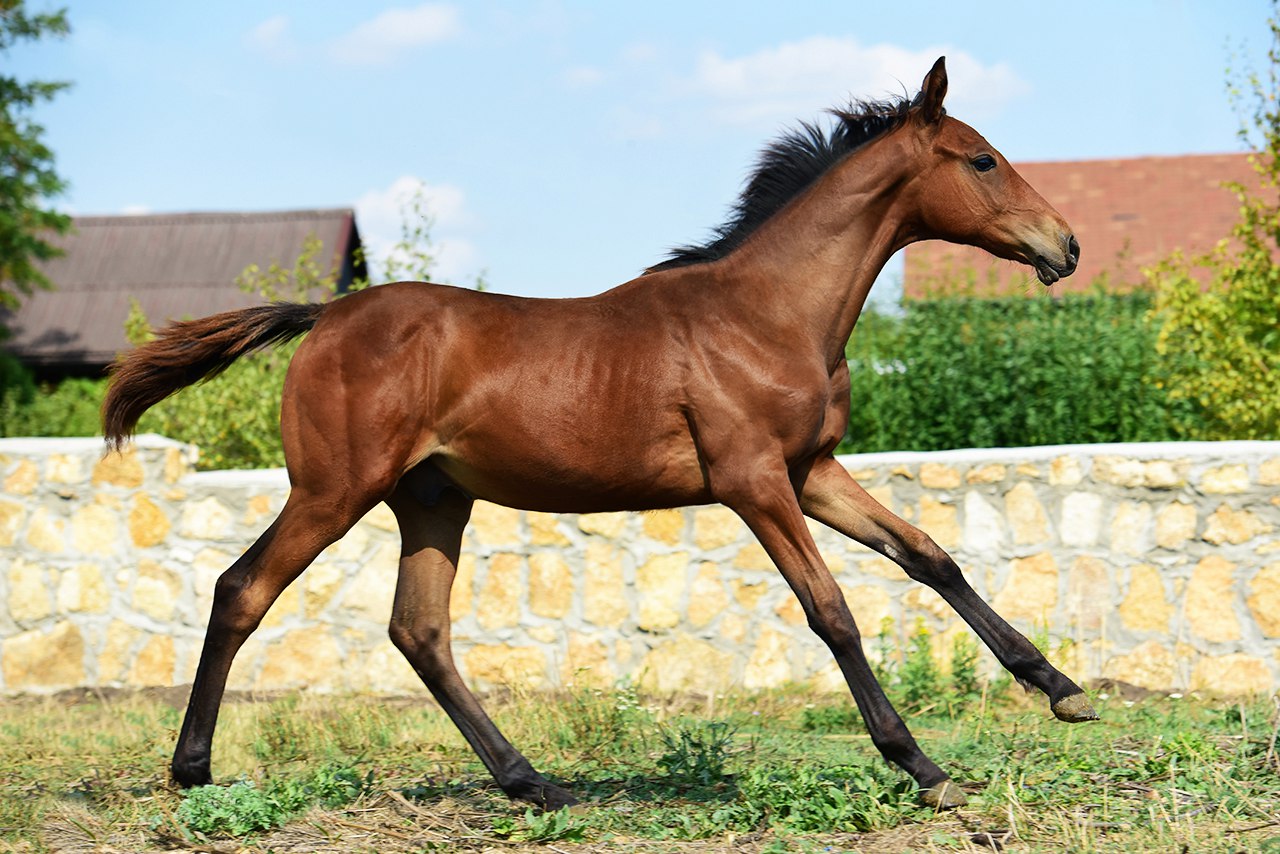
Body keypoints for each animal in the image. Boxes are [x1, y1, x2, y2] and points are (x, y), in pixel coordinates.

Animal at [102, 58, 1090, 809]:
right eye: (983, 161)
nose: (1067, 245)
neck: (769, 311)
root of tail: (324, 317)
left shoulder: (811, 469)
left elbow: (930, 556)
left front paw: (1063, 691)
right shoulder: (753, 481)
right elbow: (831, 609)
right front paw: (922, 766)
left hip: (431, 498)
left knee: (419, 631)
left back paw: (531, 782)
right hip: (333, 490)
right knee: (242, 589)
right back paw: (193, 771)